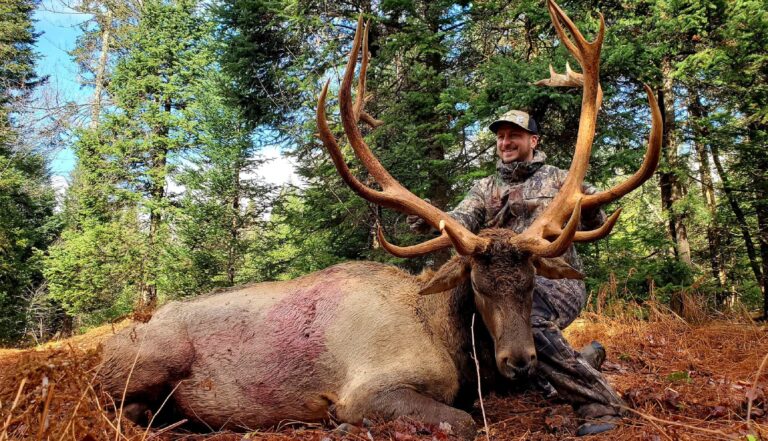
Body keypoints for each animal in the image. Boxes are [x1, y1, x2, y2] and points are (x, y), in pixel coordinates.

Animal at [99, 1, 661, 437]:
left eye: (528, 284)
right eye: (477, 285)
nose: (520, 363)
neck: (445, 336)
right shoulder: (369, 385)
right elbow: (461, 422)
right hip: (150, 357)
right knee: (115, 403)